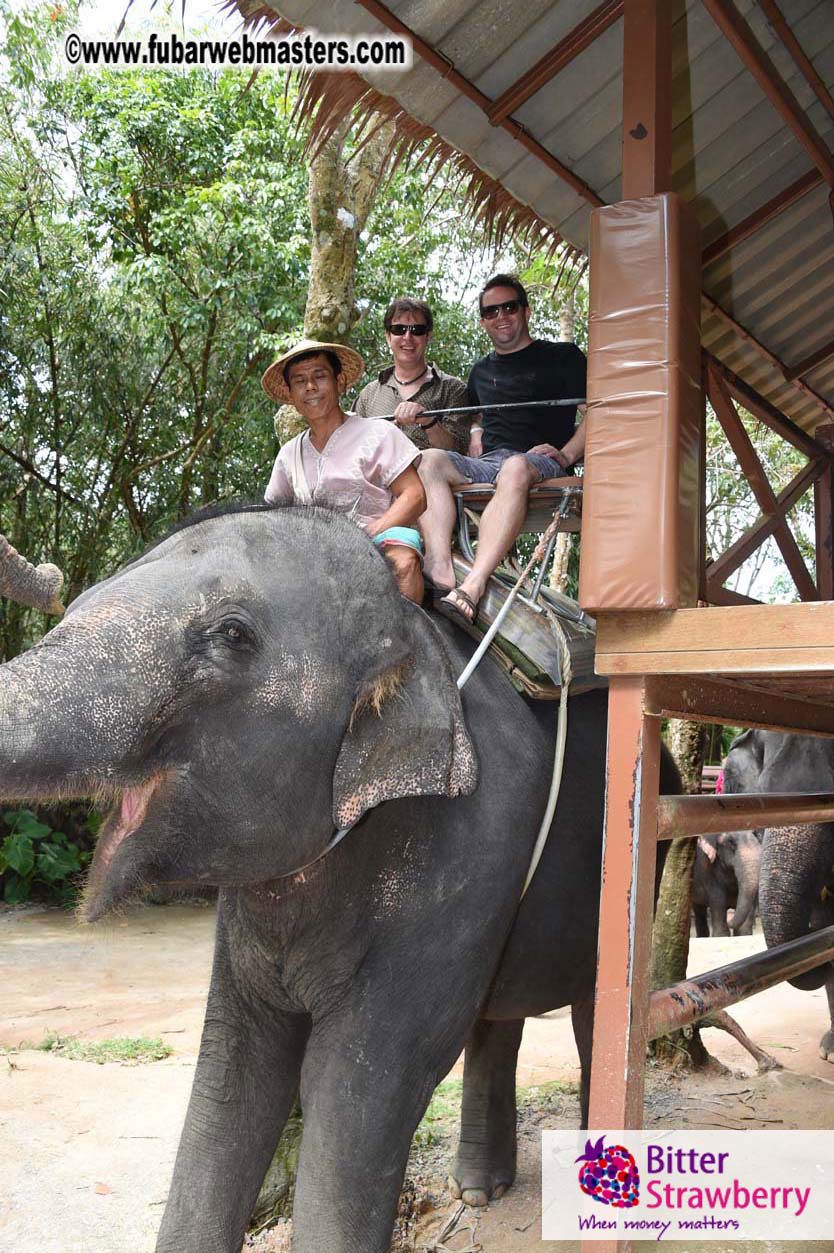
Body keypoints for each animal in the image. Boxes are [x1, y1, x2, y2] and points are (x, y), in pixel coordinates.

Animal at [0, 504, 679, 1253]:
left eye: (231, 634)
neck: (413, 634)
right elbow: (232, 1067)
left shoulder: (469, 848)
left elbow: (362, 1085)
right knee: (496, 1017)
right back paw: (476, 1190)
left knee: (596, 1011)